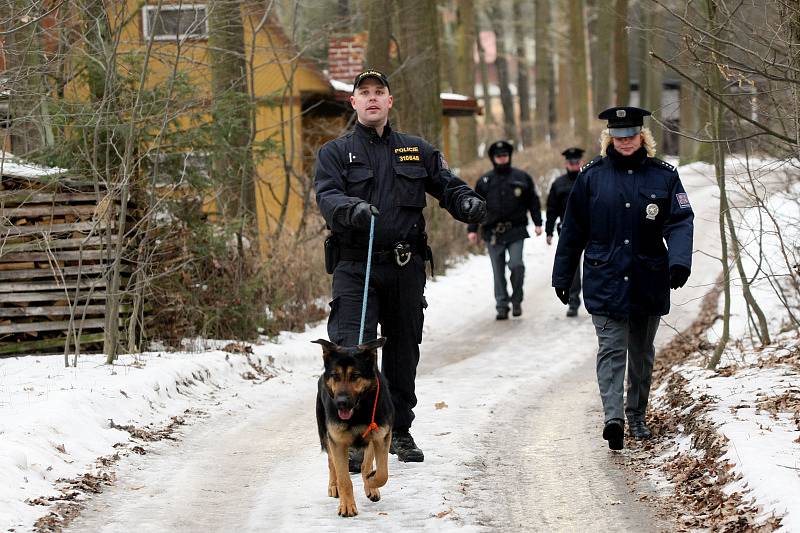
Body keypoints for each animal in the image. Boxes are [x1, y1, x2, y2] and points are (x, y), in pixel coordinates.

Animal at [316, 336, 396, 516]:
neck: (358, 412)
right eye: (335, 376)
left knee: (366, 464)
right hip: (326, 434)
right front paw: (347, 506)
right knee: (332, 463)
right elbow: (344, 479)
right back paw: (333, 486)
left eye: (355, 376)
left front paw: (371, 482)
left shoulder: (381, 436)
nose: (341, 403)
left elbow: (382, 473)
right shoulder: (337, 441)